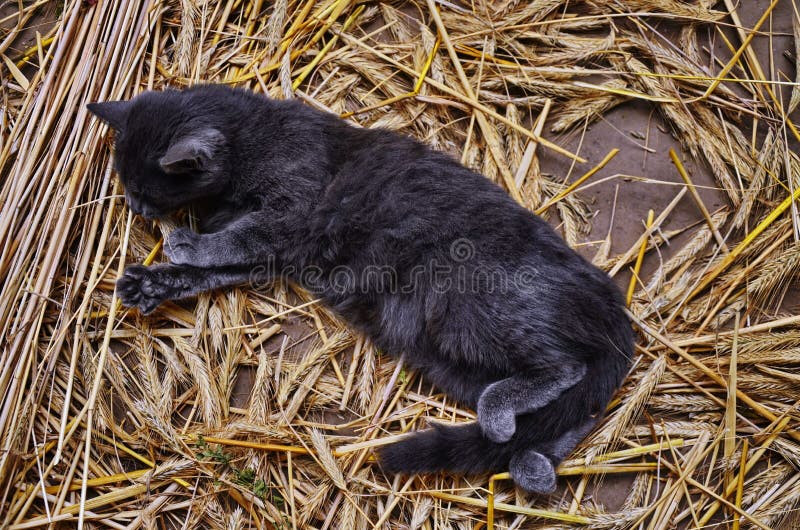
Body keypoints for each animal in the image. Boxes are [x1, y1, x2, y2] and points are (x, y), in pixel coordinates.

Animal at [87, 84, 636, 492]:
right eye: (127, 186)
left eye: (146, 190)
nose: (136, 208)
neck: (256, 139)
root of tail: (614, 306)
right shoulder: (275, 257)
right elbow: (222, 262)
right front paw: (153, 282)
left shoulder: (290, 216)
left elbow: (231, 241)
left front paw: (184, 244)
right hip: (452, 360)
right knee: (577, 408)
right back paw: (530, 461)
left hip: (474, 312)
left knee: (566, 370)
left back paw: (501, 417)